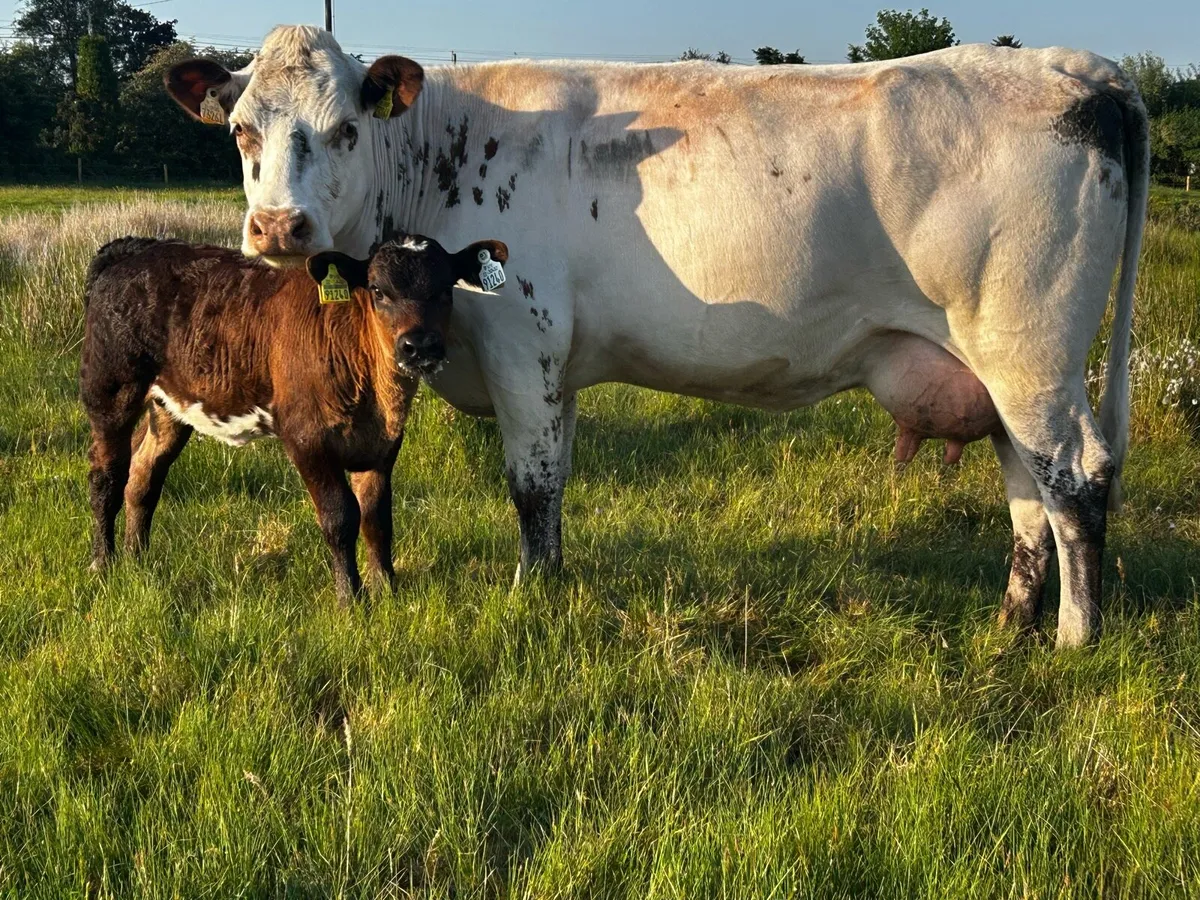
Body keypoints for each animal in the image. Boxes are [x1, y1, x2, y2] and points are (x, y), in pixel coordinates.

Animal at [80, 233, 508, 600]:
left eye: (445, 289)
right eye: (378, 290)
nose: (419, 346)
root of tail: (136, 248)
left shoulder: (383, 444)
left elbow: (377, 517)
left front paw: (387, 589)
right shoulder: (306, 439)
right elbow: (340, 517)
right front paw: (351, 598)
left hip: (170, 405)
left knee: (144, 476)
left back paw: (137, 560)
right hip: (109, 389)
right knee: (107, 476)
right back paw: (103, 563)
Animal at [165, 26, 1148, 648]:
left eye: (344, 129)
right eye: (242, 131)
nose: (278, 227)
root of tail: (1073, 66)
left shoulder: (521, 337)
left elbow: (529, 482)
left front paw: (529, 597)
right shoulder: (553, 364)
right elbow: (554, 481)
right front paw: (554, 581)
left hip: (1029, 347)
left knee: (1074, 477)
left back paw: (1075, 638)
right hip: (1001, 366)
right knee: (1027, 488)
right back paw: (1010, 624)